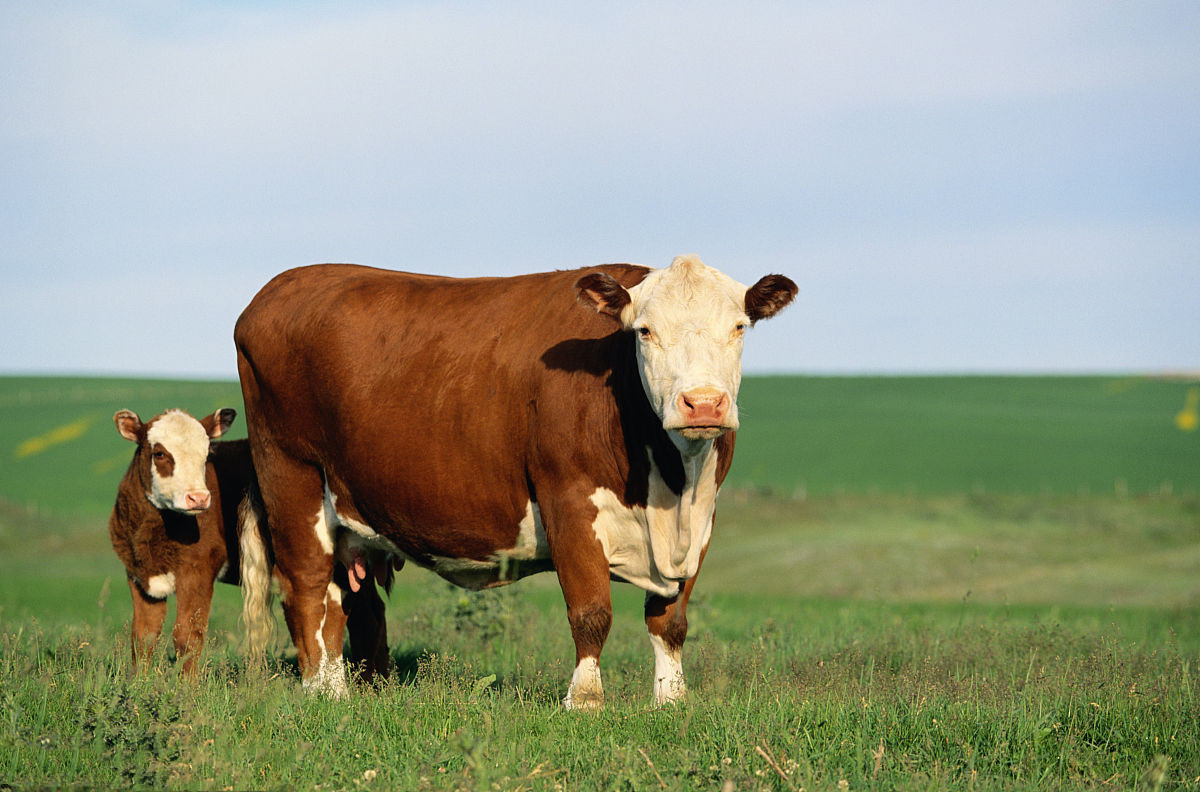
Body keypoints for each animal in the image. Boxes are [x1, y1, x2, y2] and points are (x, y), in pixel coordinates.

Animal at [106, 408, 255, 676]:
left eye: (207, 455)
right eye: (159, 453)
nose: (198, 498)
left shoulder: (198, 570)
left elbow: (187, 635)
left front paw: (188, 686)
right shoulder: (137, 574)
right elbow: (143, 635)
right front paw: (138, 682)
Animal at [234, 255, 796, 705]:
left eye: (740, 327)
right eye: (645, 331)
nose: (703, 403)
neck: (671, 489)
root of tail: (283, 284)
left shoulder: (701, 520)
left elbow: (670, 620)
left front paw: (671, 701)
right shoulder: (568, 502)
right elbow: (591, 611)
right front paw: (585, 701)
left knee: (348, 601)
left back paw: (351, 686)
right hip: (292, 476)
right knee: (306, 584)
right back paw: (323, 693)